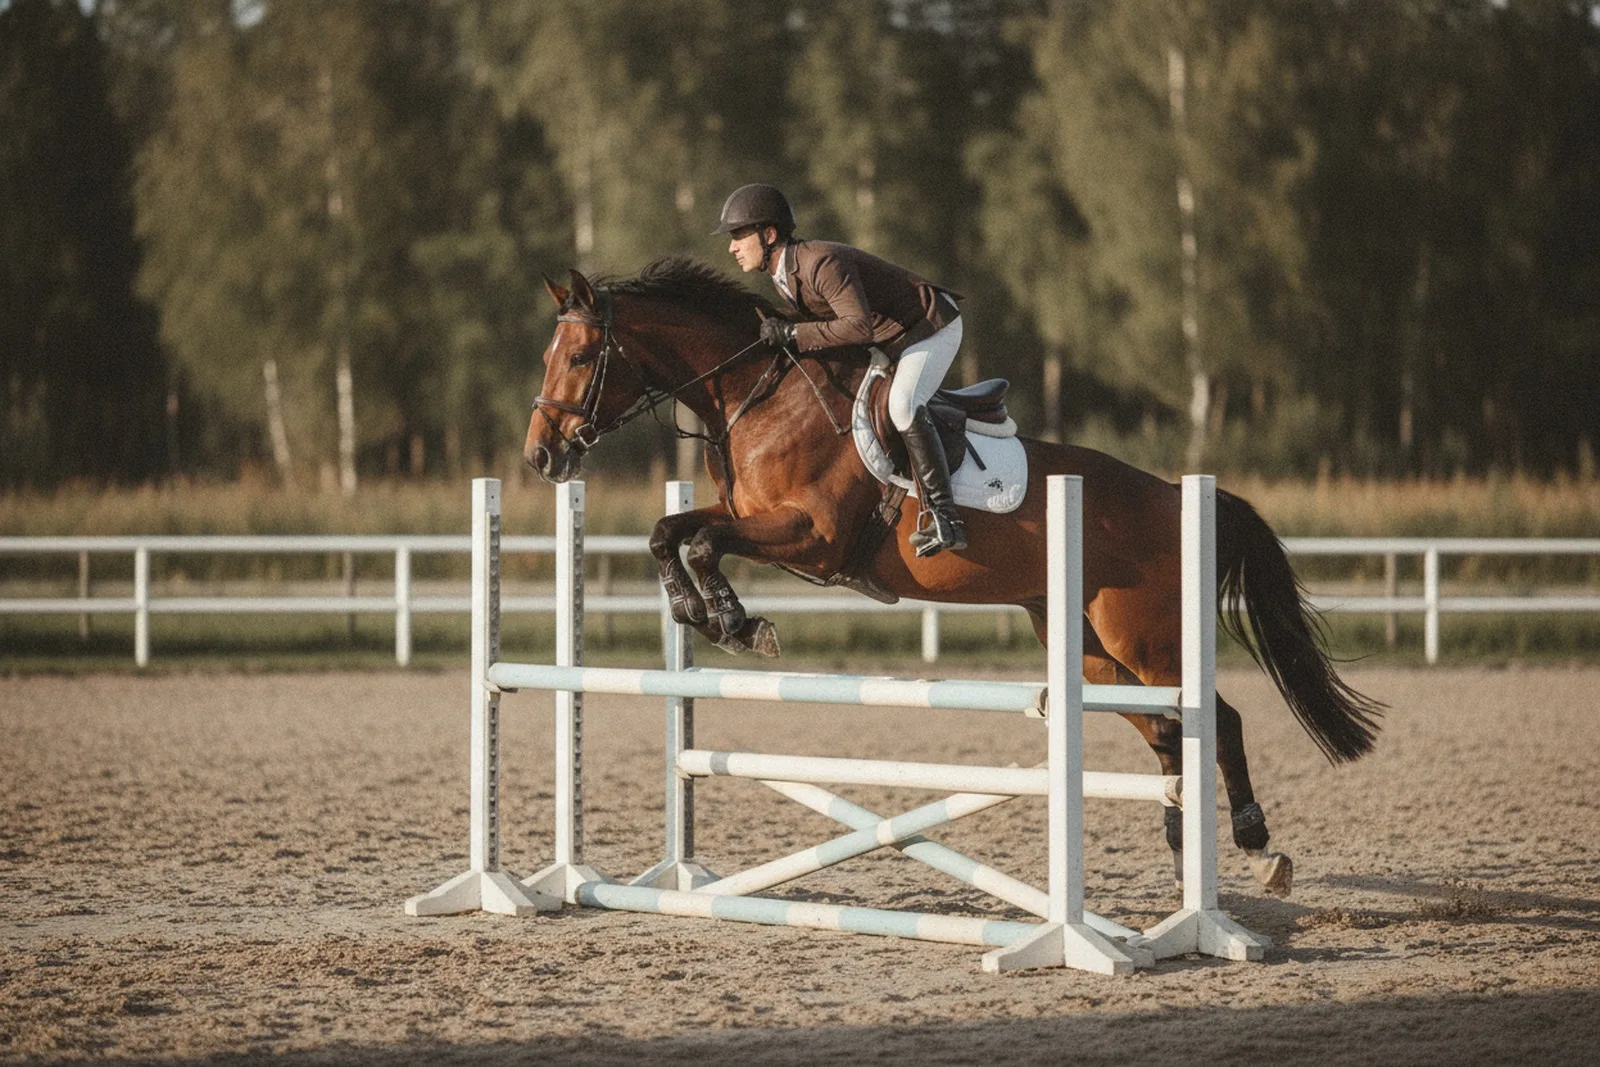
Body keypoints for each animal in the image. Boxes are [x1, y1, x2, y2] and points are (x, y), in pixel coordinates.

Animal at [524, 257, 1383, 898]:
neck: (756, 397)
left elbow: (700, 542)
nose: (541, 456)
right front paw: (697, 613)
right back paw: (1181, 861)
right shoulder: (756, 522)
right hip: (1089, 649)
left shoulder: (812, 538)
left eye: (579, 357)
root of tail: (1177, 494)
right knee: (1171, 733)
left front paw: (738, 622)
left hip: (1145, 637)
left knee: (1218, 718)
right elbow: (668, 533)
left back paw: (1258, 845)